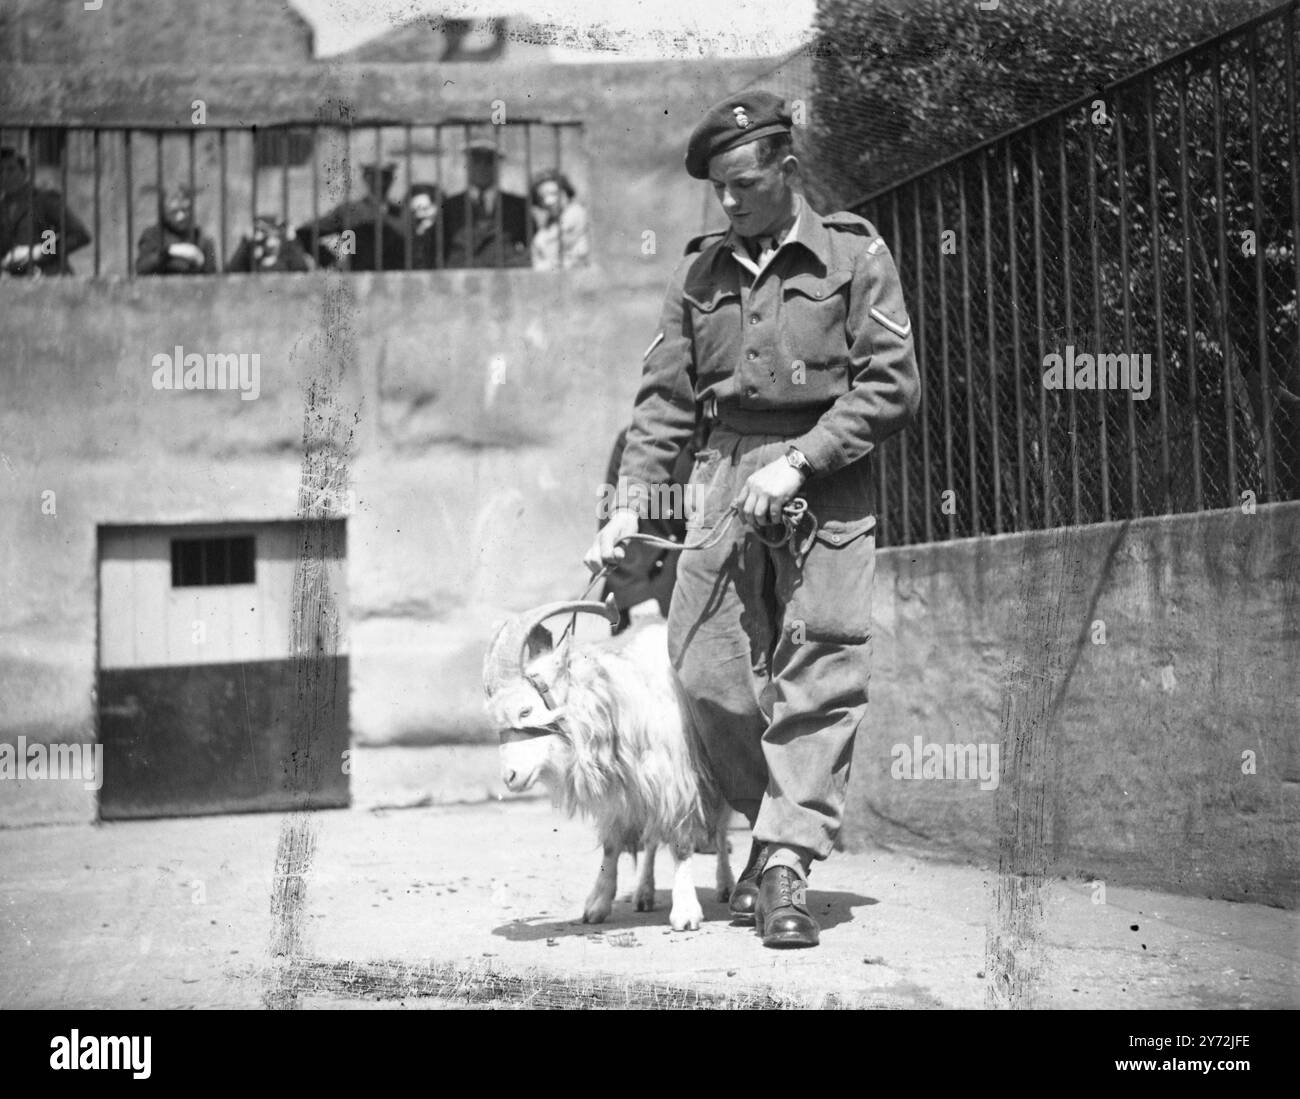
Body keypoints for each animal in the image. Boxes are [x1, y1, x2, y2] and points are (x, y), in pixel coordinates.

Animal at [486, 600, 733, 926]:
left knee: (721, 827)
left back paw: (726, 885)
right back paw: (644, 893)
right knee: (652, 838)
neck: (613, 700)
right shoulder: (622, 788)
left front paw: (685, 912)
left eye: (525, 711)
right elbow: (612, 844)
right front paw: (597, 904)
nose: (510, 777)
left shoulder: (677, 780)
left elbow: (681, 843)